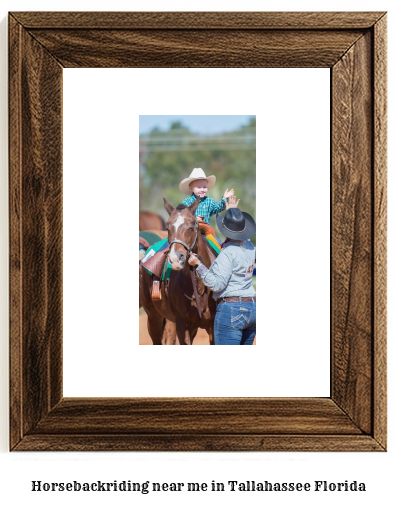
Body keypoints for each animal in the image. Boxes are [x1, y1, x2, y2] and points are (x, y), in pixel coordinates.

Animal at [139, 198, 217, 346]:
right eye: (168, 228)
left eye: (191, 228)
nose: (175, 259)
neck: (198, 286)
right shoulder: (182, 325)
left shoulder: (213, 325)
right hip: (153, 316)